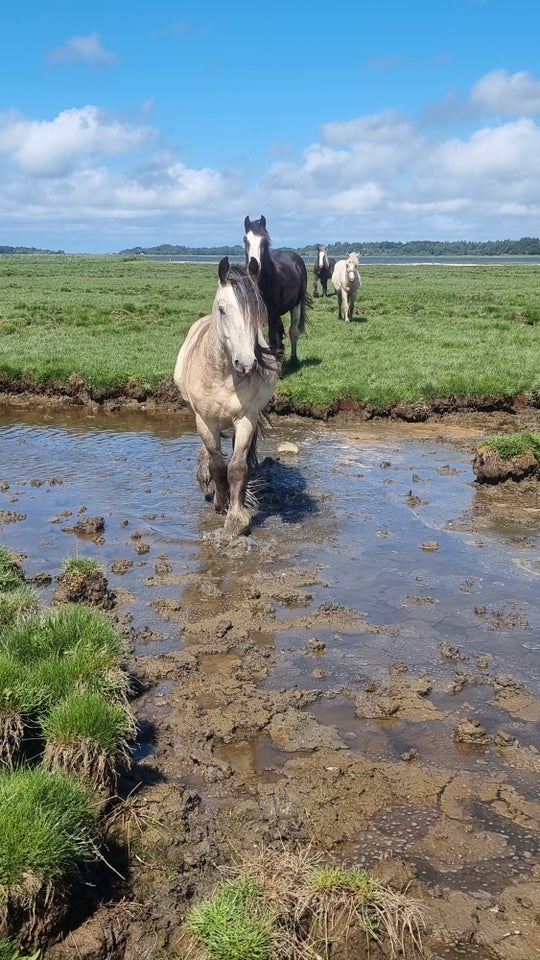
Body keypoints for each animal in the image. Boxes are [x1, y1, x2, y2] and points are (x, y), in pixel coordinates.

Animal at [174, 258, 282, 536]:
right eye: (223, 309)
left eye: (258, 310)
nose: (246, 364)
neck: (222, 374)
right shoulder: (204, 420)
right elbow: (216, 464)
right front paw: (220, 501)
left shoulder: (245, 419)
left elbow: (236, 468)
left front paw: (236, 517)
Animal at [243, 214, 310, 368]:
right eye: (245, 239)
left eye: (264, 240)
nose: (253, 267)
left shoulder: (272, 313)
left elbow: (272, 339)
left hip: (295, 305)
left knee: (293, 331)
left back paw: (293, 360)